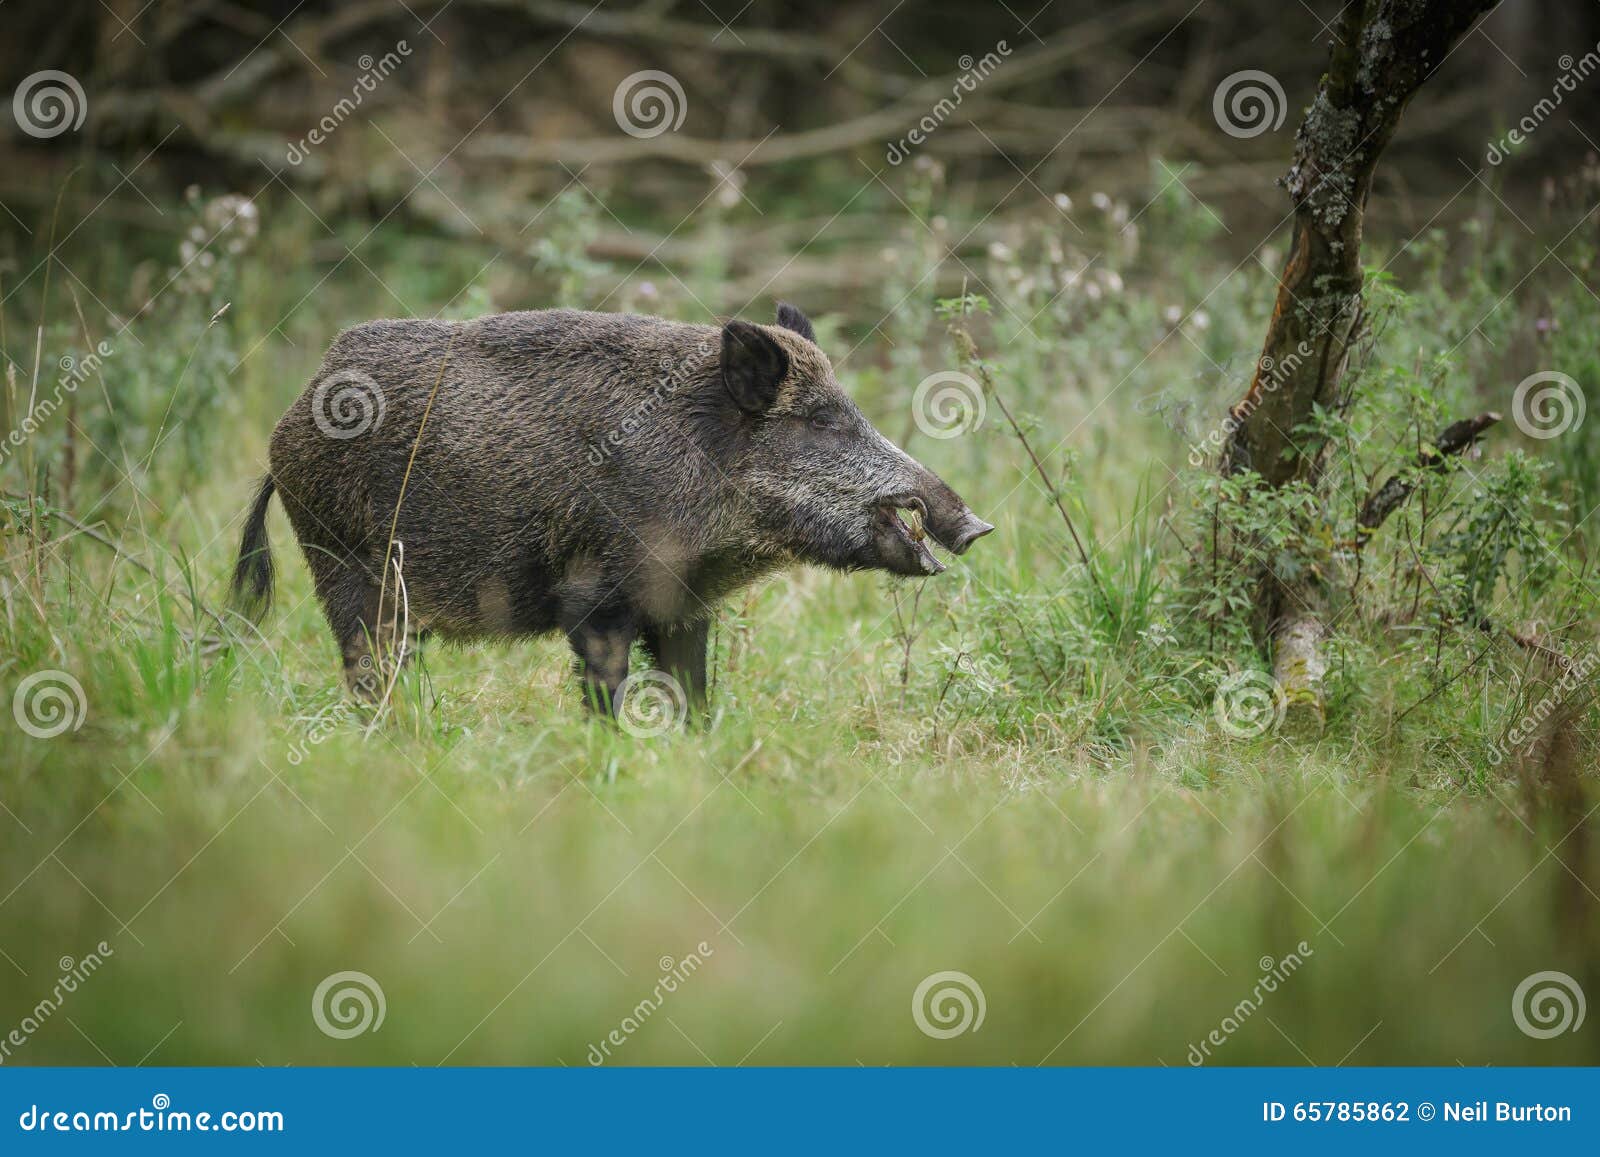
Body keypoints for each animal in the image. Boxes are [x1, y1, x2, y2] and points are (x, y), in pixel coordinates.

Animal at [231, 303, 992, 720]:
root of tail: (283, 431)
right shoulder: (594, 594)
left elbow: (694, 691)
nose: (974, 524)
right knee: (366, 665)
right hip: (339, 561)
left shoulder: (685, 604)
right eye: (823, 420)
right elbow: (607, 687)